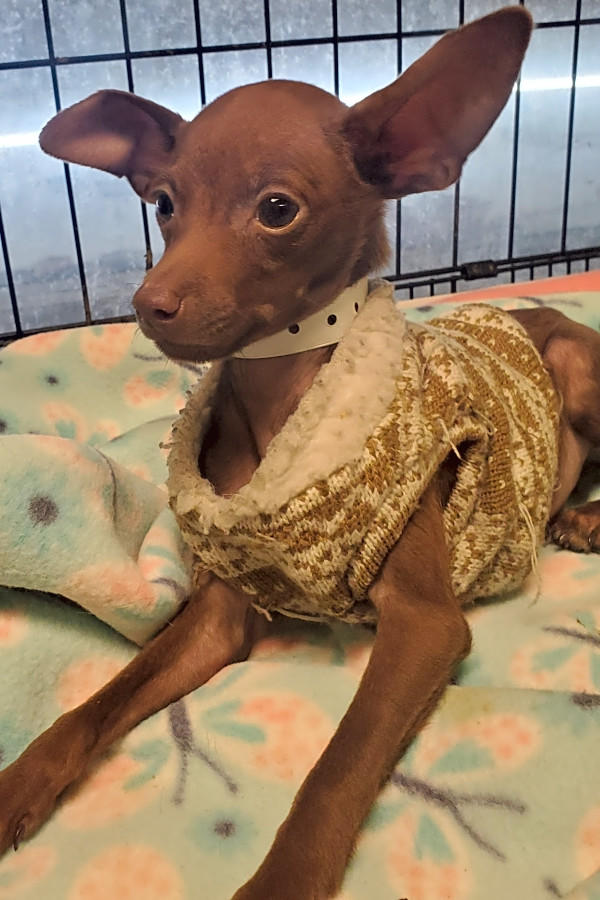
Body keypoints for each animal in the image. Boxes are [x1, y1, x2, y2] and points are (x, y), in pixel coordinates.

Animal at [1, 7, 599, 898]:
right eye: (164, 204)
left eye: (277, 209)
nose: (148, 304)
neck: (279, 403)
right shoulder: (219, 617)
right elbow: (105, 699)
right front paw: (20, 781)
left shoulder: (425, 624)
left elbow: (335, 767)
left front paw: (280, 881)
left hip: (578, 368)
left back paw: (588, 521)